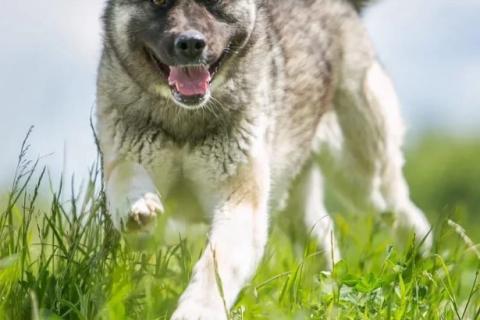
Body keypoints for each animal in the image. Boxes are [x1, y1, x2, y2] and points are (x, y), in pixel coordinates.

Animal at [95, 0, 434, 318]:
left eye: (215, 2)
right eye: (157, 2)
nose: (190, 43)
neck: (185, 120)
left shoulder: (240, 201)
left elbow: (217, 264)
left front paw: (198, 309)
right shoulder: (126, 146)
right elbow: (124, 173)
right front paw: (137, 206)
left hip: (362, 176)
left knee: (402, 210)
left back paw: (417, 261)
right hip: (292, 196)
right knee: (320, 232)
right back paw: (329, 289)